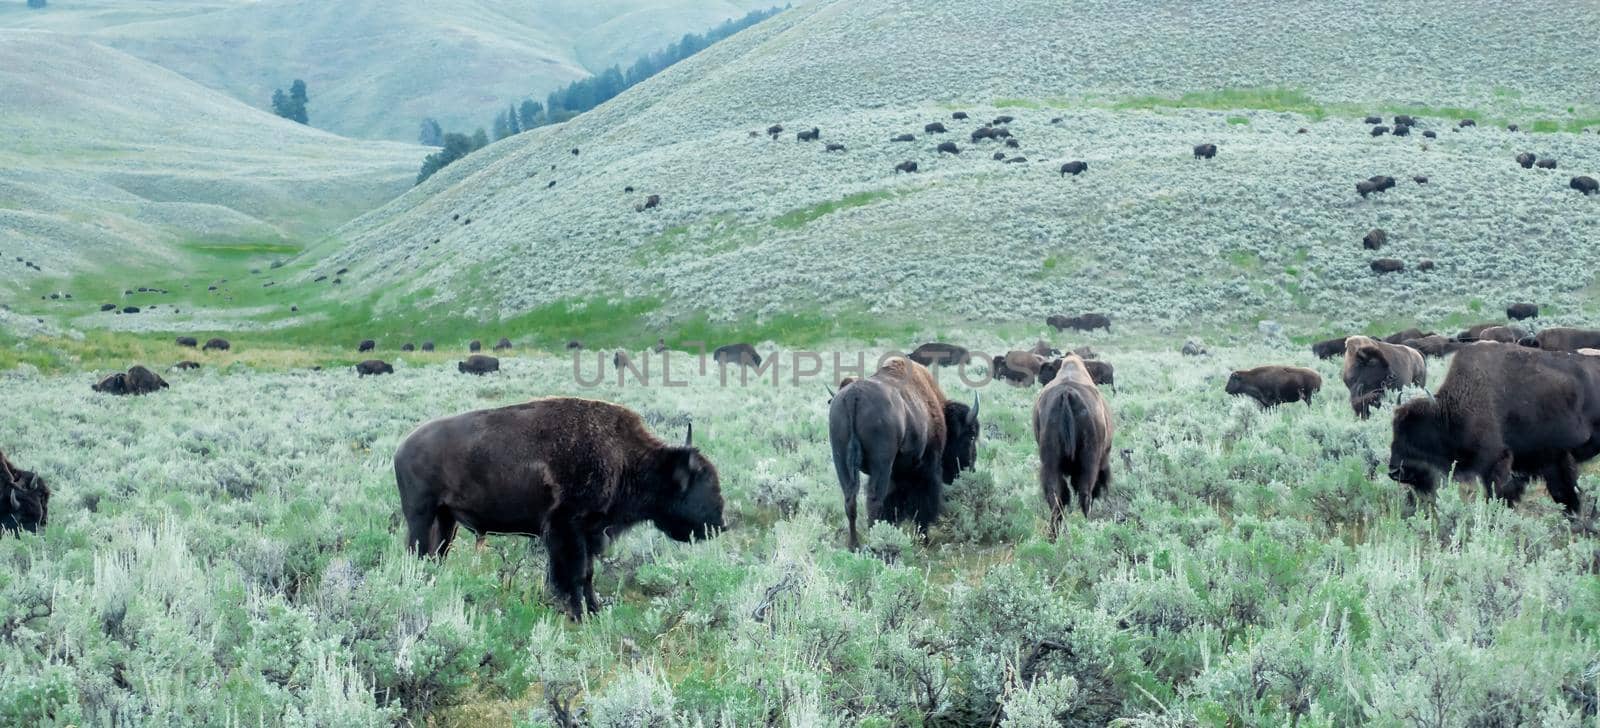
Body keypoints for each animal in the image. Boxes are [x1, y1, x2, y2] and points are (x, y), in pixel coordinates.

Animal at [390, 398, 723, 620]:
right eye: (704, 482)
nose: (721, 523)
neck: (624, 458)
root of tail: (402, 447)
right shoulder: (568, 530)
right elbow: (574, 574)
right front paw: (579, 613)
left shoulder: (588, 534)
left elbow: (587, 573)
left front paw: (593, 610)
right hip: (421, 515)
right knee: (417, 551)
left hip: (447, 520)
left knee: (435, 555)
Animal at [832, 356, 979, 550]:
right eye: (971, 435)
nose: (970, 468)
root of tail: (853, 396)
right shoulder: (928, 468)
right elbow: (923, 502)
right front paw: (924, 538)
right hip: (881, 464)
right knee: (874, 500)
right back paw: (877, 541)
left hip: (841, 461)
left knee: (850, 500)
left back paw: (854, 545)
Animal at [1030, 356, 1107, 537]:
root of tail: (1067, 394)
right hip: (1089, 461)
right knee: (1085, 493)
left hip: (1051, 463)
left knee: (1056, 496)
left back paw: (1053, 534)